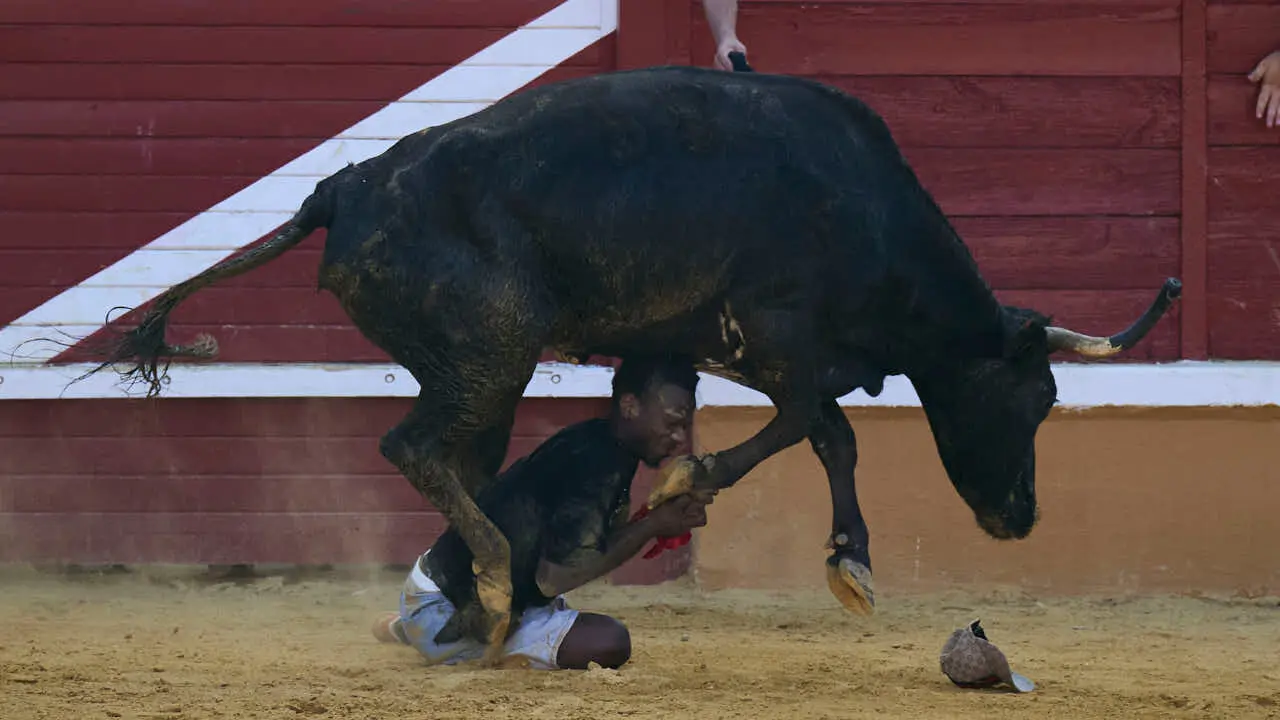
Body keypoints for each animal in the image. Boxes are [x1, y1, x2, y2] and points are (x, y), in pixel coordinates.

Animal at [78, 63, 1181, 666]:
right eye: (1032, 397)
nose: (1019, 518)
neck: (866, 212)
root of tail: (342, 189)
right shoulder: (777, 337)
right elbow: (818, 426)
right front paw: (748, 507)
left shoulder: (732, 348)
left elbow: (818, 430)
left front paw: (820, 545)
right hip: (492, 353)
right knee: (414, 447)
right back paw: (491, 581)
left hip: (475, 371)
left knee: (458, 460)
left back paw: (469, 603)